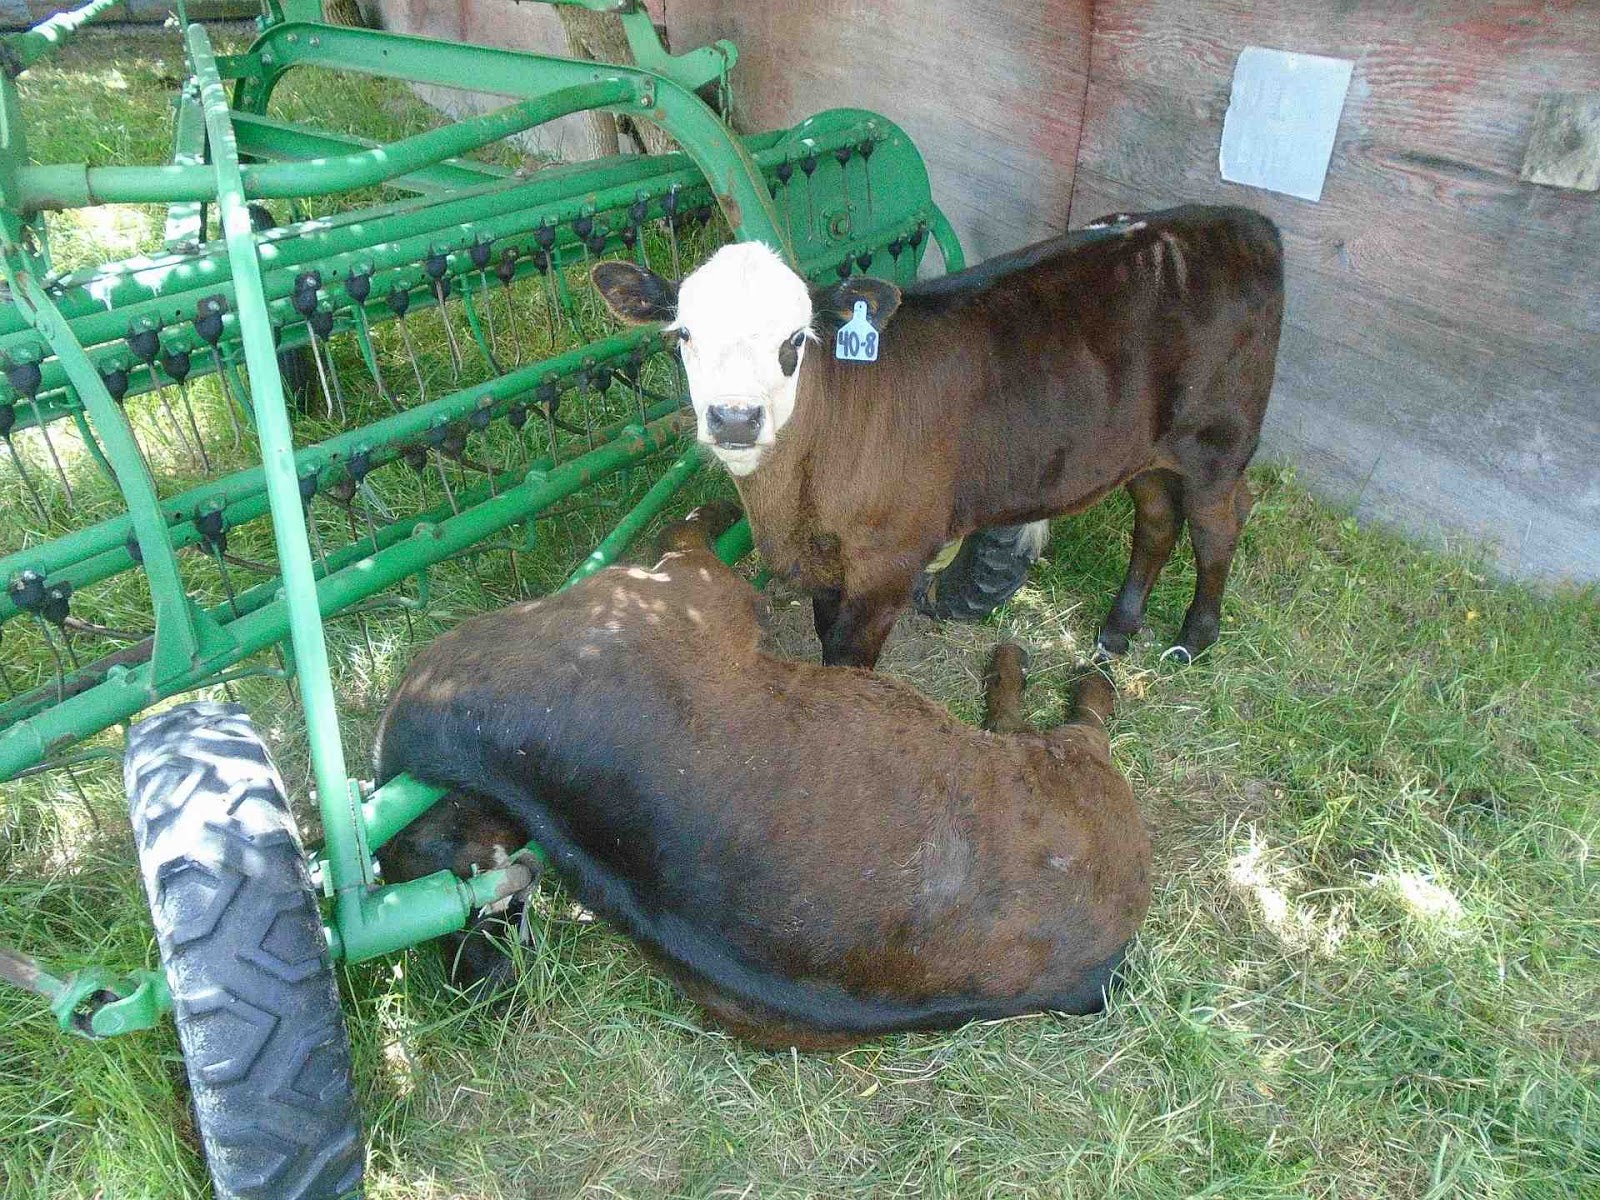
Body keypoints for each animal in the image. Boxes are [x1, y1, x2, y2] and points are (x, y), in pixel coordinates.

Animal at [375, 505, 1151, 1050]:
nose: (489, 969)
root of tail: (1096, 973)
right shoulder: (696, 586)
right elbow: (696, 530)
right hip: (1069, 766)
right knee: (1066, 715)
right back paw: (1046, 665)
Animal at [592, 205, 1284, 669]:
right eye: (683, 335)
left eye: (795, 340)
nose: (735, 418)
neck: (794, 502)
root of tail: (1240, 220)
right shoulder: (829, 564)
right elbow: (825, 639)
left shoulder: (890, 559)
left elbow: (847, 660)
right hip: (1144, 451)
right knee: (1158, 520)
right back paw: (1116, 633)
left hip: (1218, 443)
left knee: (1220, 524)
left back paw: (1193, 638)